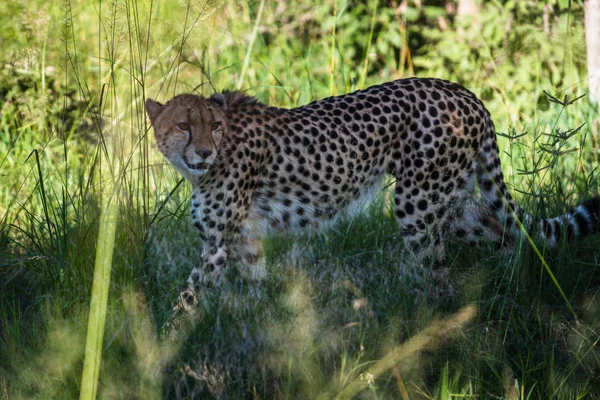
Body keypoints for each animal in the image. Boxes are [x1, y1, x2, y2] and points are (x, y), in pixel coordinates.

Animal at [145, 76, 600, 310]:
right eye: (184, 125)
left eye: (213, 126)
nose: (204, 152)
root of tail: (464, 92)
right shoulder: (244, 241)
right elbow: (255, 291)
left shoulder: (218, 243)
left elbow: (187, 298)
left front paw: (167, 347)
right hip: (451, 203)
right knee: (504, 233)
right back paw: (510, 290)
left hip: (417, 203)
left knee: (440, 277)